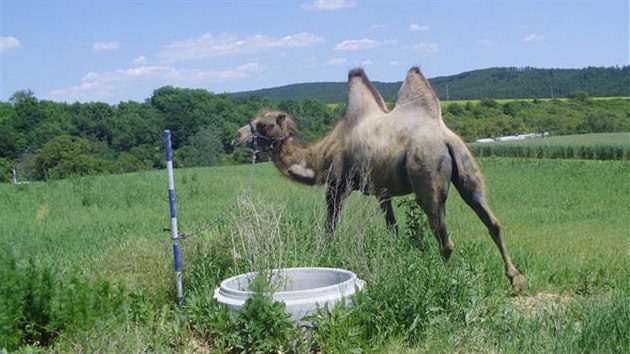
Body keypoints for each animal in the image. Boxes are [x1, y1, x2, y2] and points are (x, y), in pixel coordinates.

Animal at [232, 67, 528, 294]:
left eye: (264, 124)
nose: (236, 136)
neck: (321, 156)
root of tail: (446, 138)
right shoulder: (381, 190)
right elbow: (392, 228)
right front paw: (397, 257)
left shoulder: (337, 184)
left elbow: (330, 224)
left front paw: (326, 252)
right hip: (468, 171)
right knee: (492, 221)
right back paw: (515, 278)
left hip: (427, 174)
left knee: (442, 233)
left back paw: (445, 277)